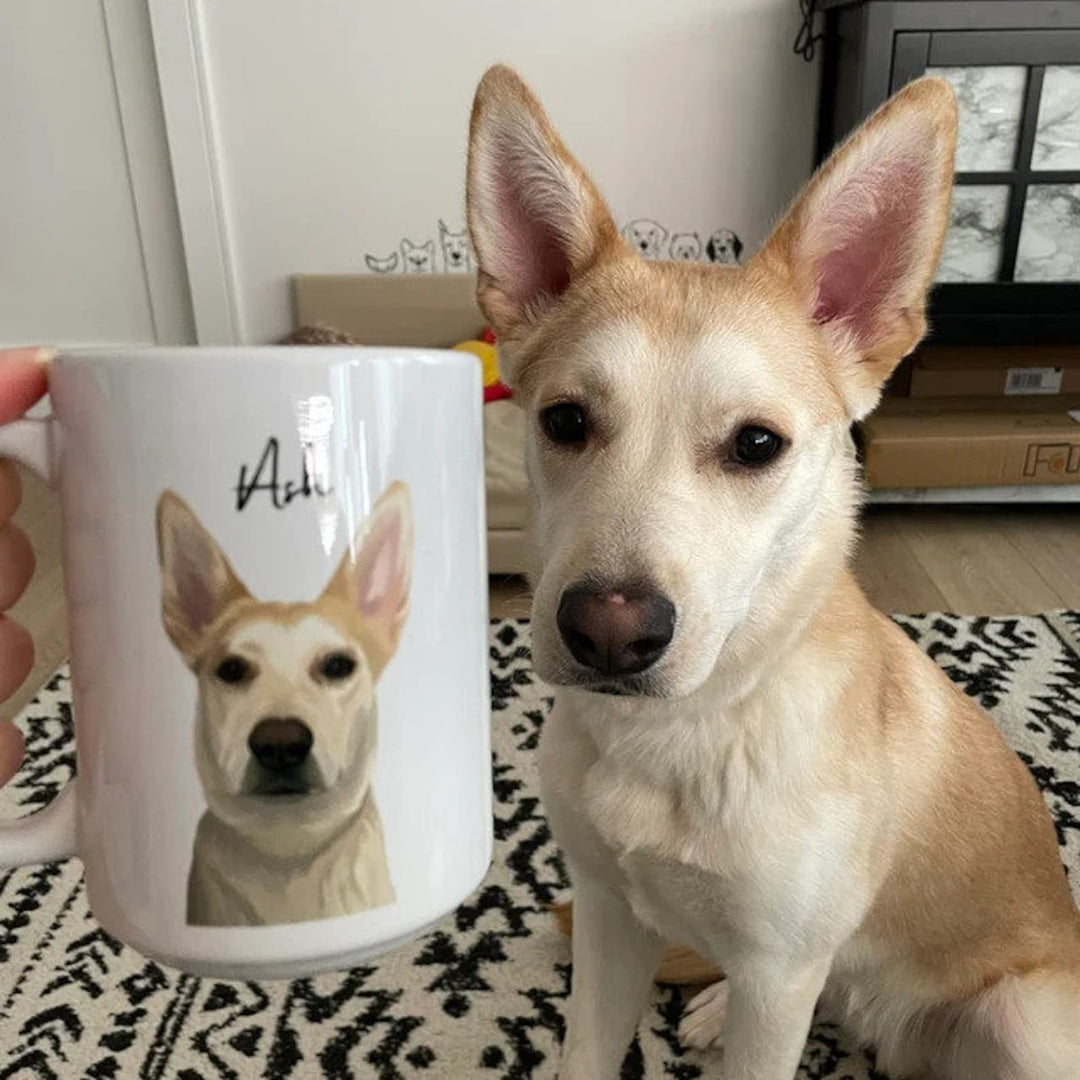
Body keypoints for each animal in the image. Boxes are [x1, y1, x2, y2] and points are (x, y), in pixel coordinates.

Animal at [468, 67, 1080, 1080]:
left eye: (757, 445)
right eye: (563, 421)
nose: (610, 632)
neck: (681, 734)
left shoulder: (780, 973)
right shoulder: (606, 919)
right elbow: (587, 1051)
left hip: (1023, 1017)